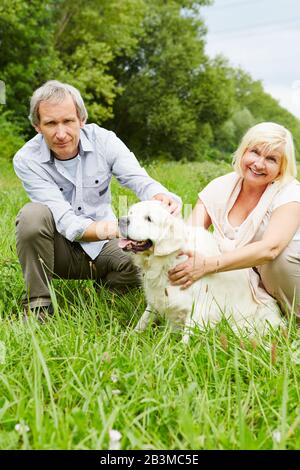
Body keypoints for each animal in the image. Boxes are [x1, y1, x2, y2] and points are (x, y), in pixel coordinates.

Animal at [118, 199, 284, 342]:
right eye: (131, 212)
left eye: (148, 219)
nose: (121, 220)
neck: (169, 260)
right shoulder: (156, 298)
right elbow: (144, 319)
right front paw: (130, 336)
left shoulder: (199, 307)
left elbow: (187, 336)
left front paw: (182, 353)